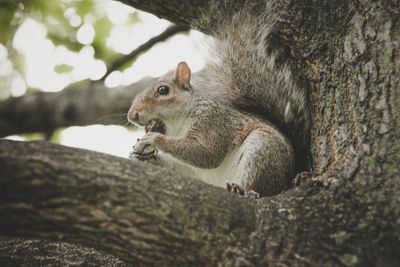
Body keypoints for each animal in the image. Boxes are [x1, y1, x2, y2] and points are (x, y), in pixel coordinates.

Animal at [127, 6, 310, 198]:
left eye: (163, 90)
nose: (132, 115)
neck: (176, 125)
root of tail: (288, 178)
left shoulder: (213, 120)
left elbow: (207, 152)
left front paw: (154, 138)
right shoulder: (189, 169)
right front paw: (140, 155)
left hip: (264, 149)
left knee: (257, 183)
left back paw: (240, 189)